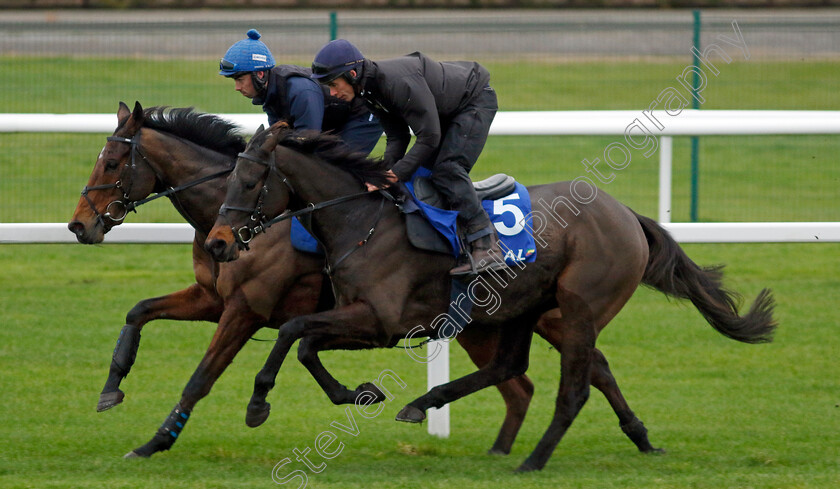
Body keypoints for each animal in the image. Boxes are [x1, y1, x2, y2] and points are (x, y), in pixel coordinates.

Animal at [67, 101, 540, 460]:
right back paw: (501, 449)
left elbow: (202, 377)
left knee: (522, 382)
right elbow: (139, 311)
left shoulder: (244, 311)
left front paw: (156, 441)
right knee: (519, 386)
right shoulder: (212, 299)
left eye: (111, 163)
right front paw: (111, 390)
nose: (78, 225)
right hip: (481, 326)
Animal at [203, 124, 776, 470]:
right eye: (227, 177)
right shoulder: (361, 318)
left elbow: (293, 333)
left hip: (579, 306)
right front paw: (357, 392)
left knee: (573, 388)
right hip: (520, 306)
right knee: (512, 368)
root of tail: (626, 214)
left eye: (249, 180)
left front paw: (259, 403)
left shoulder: (380, 321)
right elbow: (302, 341)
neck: (361, 219)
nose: (218, 243)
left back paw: (533, 459)